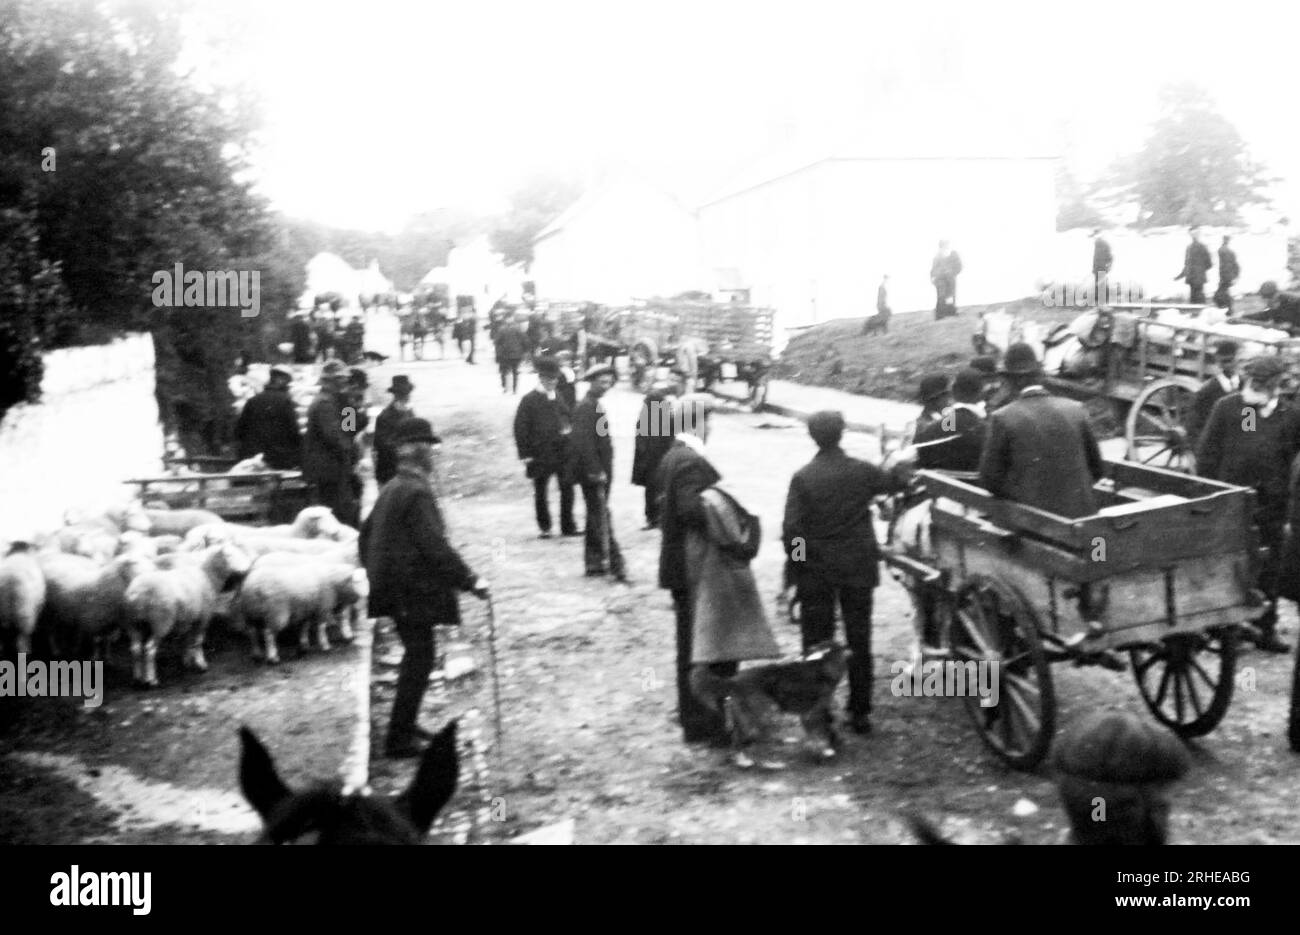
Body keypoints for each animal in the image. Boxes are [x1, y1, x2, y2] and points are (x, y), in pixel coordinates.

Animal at [124, 540, 250, 686]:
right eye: (229, 555)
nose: (245, 569)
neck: (208, 576)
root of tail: (138, 594)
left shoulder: (189, 618)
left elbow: (186, 640)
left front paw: (186, 661)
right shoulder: (204, 616)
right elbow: (198, 641)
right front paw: (201, 664)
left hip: (133, 622)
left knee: (135, 649)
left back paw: (137, 678)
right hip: (160, 622)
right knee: (149, 649)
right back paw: (151, 679)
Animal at [232, 556, 364, 665]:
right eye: (356, 582)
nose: (365, 595)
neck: (333, 581)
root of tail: (254, 586)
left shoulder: (306, 609)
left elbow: (304, 627)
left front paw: (304, 646)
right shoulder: (322, 608)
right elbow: (321, 628)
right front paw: (325, 645)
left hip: (250, 613)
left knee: (252, 633)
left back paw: (257, 654)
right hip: (276, 613)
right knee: (268, 634)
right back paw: (273, 657)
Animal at [686, 645, 847, 769]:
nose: (848, 648)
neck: (821, 665)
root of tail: (733, 681)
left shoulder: (812, 711)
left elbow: (833, 719)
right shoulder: (812, 713)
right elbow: (819, 734)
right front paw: (824, 751)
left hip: (745, 719)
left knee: (738, 741)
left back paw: (743, 761)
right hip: (767, 714)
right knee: (758, 742)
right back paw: (771, 763)